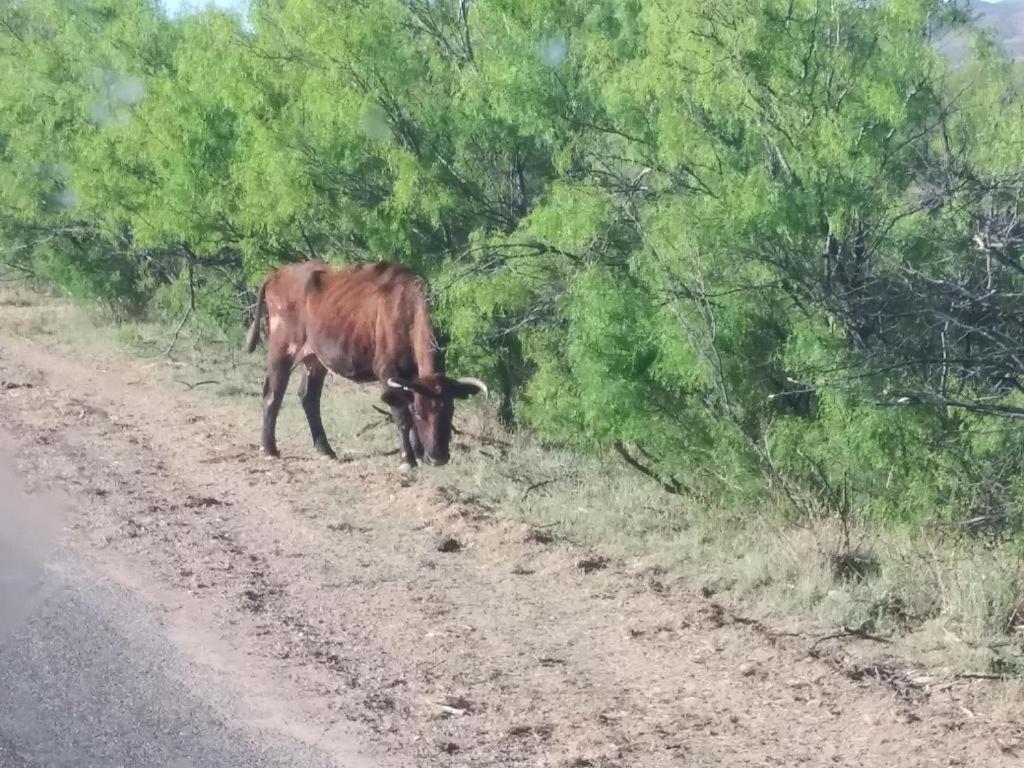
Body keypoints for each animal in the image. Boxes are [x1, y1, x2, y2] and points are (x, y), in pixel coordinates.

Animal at [246, 262, 487, 468]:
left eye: (450, 410)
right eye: (421, 414)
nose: (438, 457)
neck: (407, 310)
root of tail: (278, 273)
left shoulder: (410, 379)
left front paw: (419, 453)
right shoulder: (387, 372)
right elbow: (402, 416)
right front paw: (407, 458)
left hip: (315, 359)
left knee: (309, 397)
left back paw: (325, 448)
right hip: (282, 350)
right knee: (273, 395)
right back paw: (269, 448)